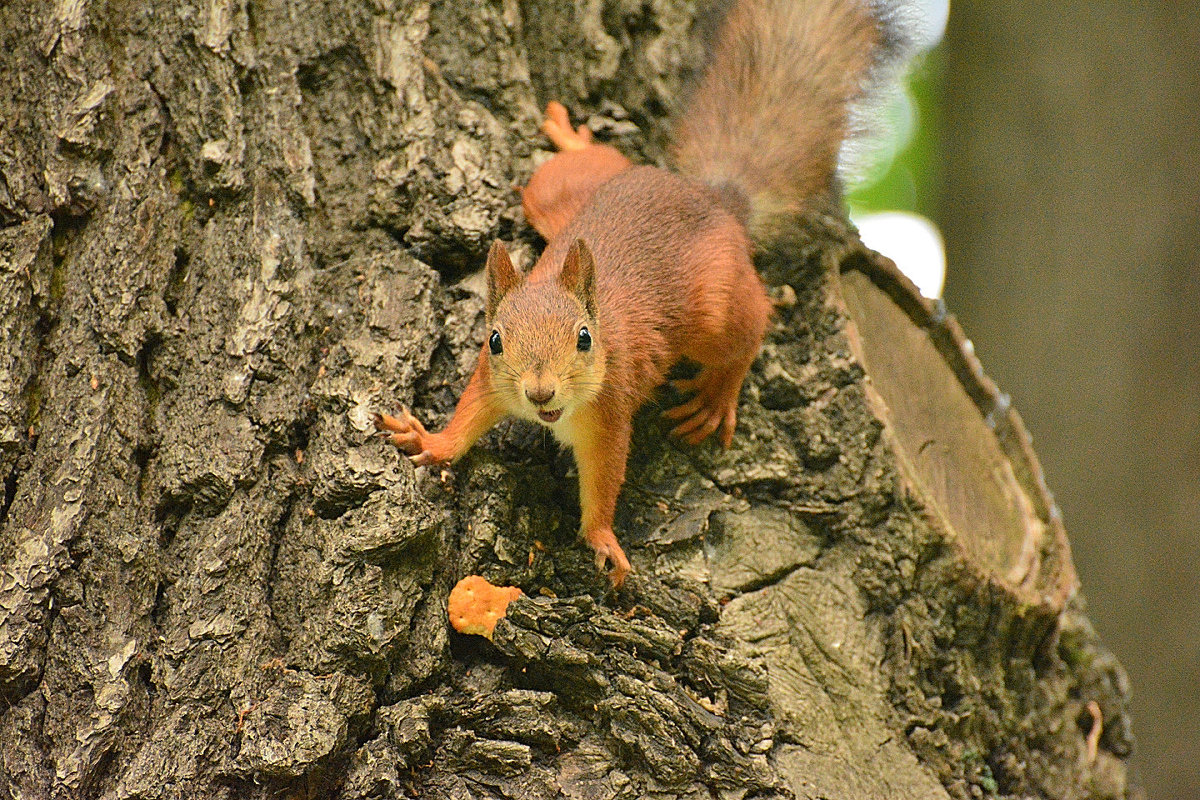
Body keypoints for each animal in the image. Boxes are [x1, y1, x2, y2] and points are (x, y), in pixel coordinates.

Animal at [379, 0, 902, 585]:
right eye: (494, 340)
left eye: (584, 339)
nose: (539, 393)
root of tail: (712, 197)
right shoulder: (491, 382)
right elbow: (468, 413)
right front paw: (432, 441)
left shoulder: (610, 415)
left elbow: (605, 479)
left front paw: (603, 539)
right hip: (556, 195)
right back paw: (575, 138)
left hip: (714, 304)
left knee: (752, 323)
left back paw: (717, 394)